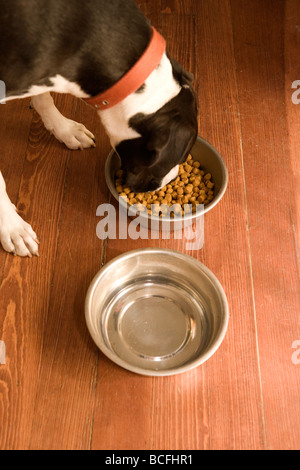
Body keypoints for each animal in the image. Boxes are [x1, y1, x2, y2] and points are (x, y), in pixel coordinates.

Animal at [0, 0, 198, 258]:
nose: (168, 183)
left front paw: (64, 128)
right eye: (180, 157)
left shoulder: (43, 71)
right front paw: (12, 227)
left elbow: (44, 96)